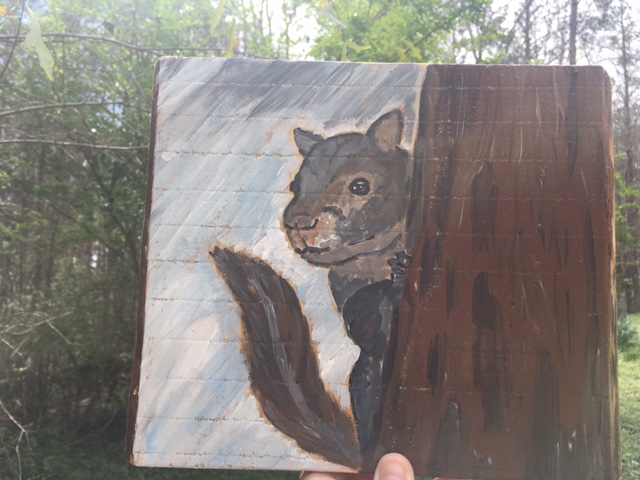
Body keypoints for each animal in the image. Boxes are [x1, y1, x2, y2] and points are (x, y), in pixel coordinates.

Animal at [211, 110, 413, 469]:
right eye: (294, 185)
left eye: (360, 185)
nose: (298, 225)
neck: (375, 255)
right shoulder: (345, 289)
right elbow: (367, 326)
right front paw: (394, 284)